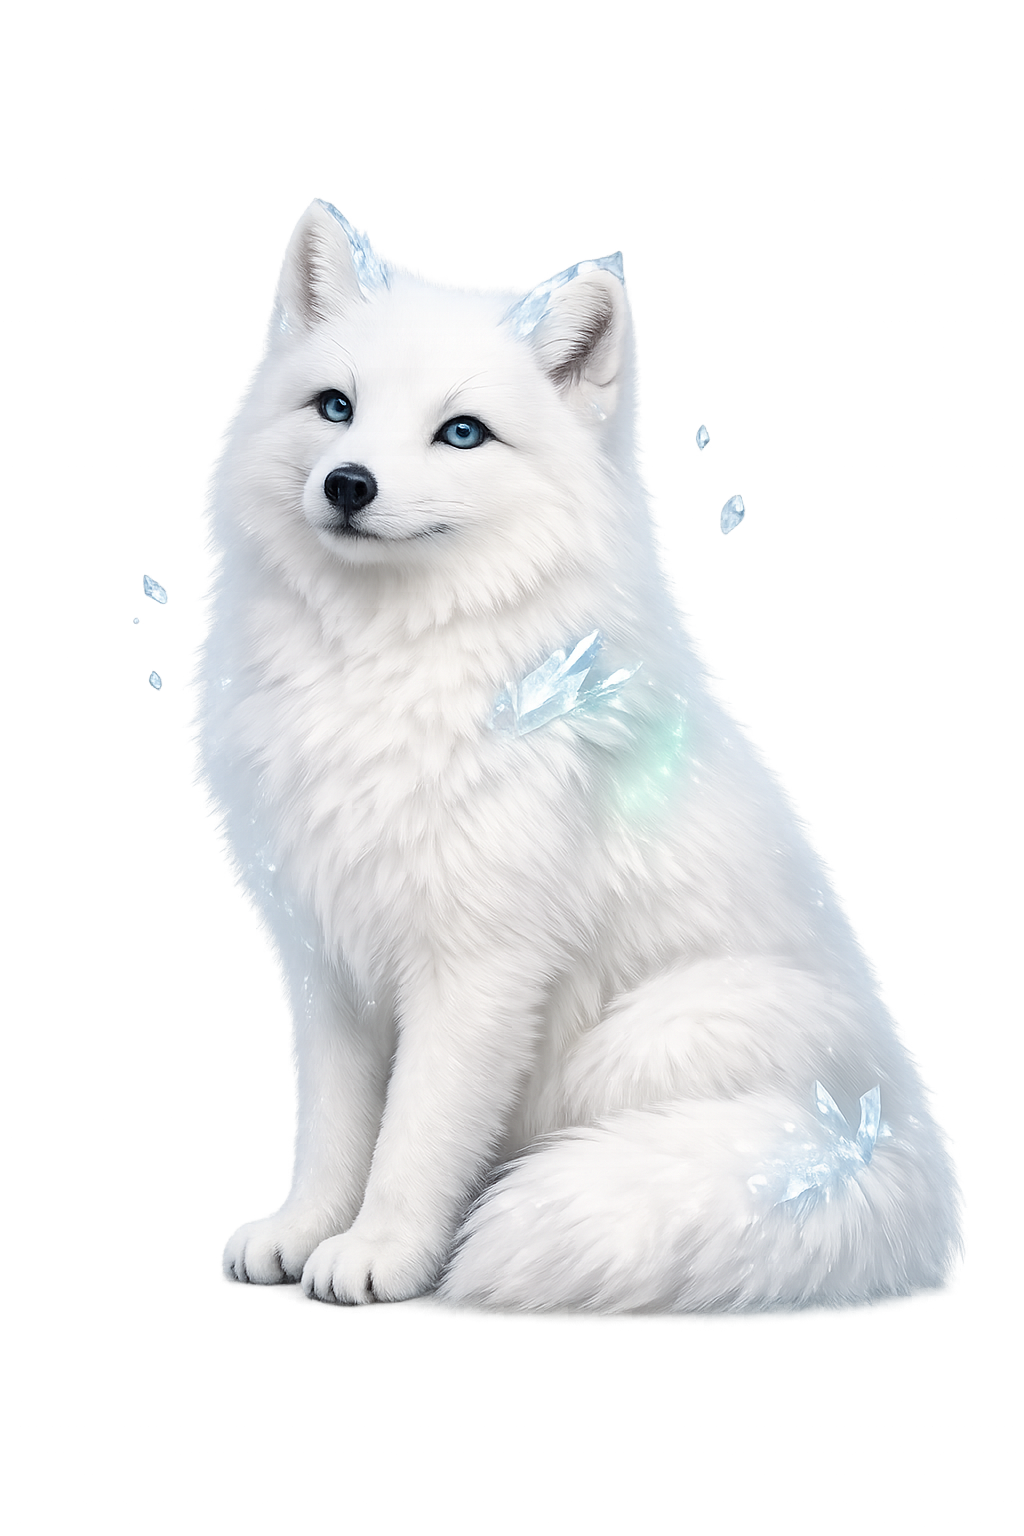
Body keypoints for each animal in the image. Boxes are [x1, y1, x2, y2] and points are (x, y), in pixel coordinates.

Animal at [210, 199, 953, 1311]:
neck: (383, 669)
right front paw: (305, 1230)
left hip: (643, 1040)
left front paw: (382, 1248)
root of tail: (877, 1149)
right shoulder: (334, 964)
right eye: (335, 407)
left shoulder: (479, 968)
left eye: (461, 431)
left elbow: (415, 1136)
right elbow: (338, 1133)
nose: (346, 484)